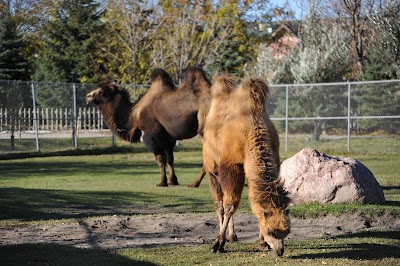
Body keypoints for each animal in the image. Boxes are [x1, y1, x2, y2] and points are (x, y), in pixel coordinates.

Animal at [203, 75, 290, 256]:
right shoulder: (232, 165)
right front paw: (218, 243)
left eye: (286, 232)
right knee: (220, 204)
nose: (280, 251)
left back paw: (232, 236)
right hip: (212, 170)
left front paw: (262, 242)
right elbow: (230, 205)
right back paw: (226, 236)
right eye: (271, 231)